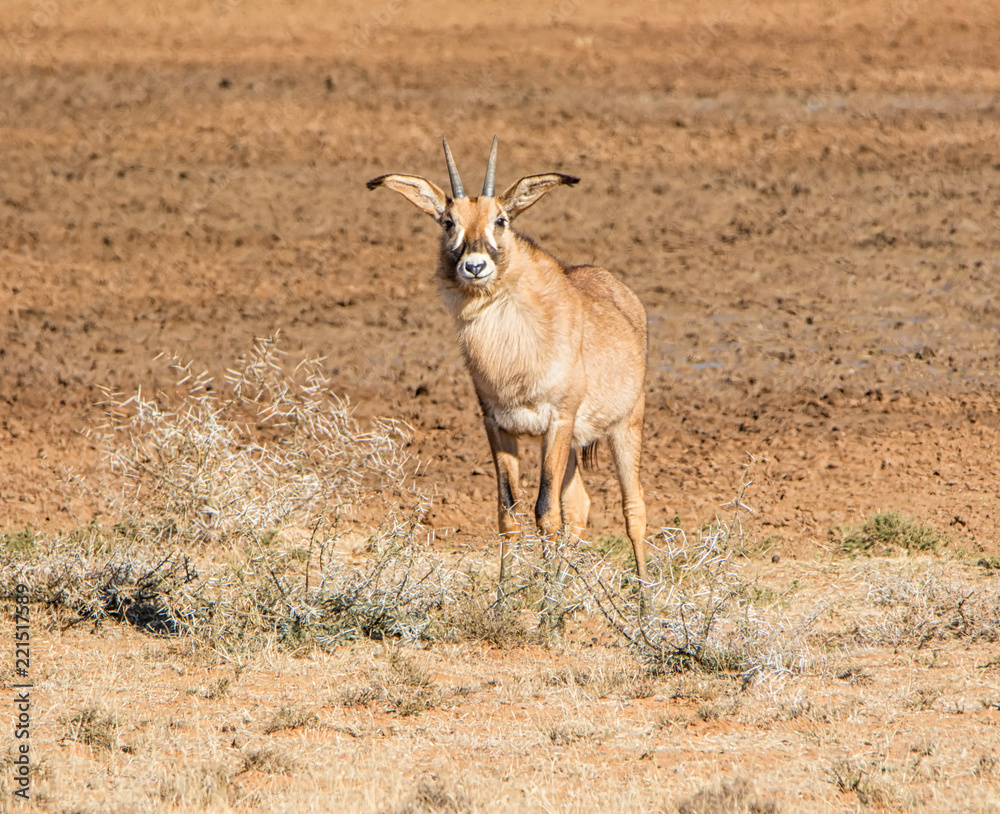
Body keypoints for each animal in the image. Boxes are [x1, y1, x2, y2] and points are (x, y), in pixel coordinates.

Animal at [367, 137, 649, 590]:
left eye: (500, 219)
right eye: (448, 221)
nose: (474, 266)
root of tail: (623, 295)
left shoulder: (557, 421)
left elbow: (545, 512)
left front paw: (549, 602)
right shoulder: (498, 426)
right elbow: (508, 512)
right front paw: (510, 594)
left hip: (625, 426)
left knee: (632, 508)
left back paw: (644, 599)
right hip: (573, 444)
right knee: (580, 504)